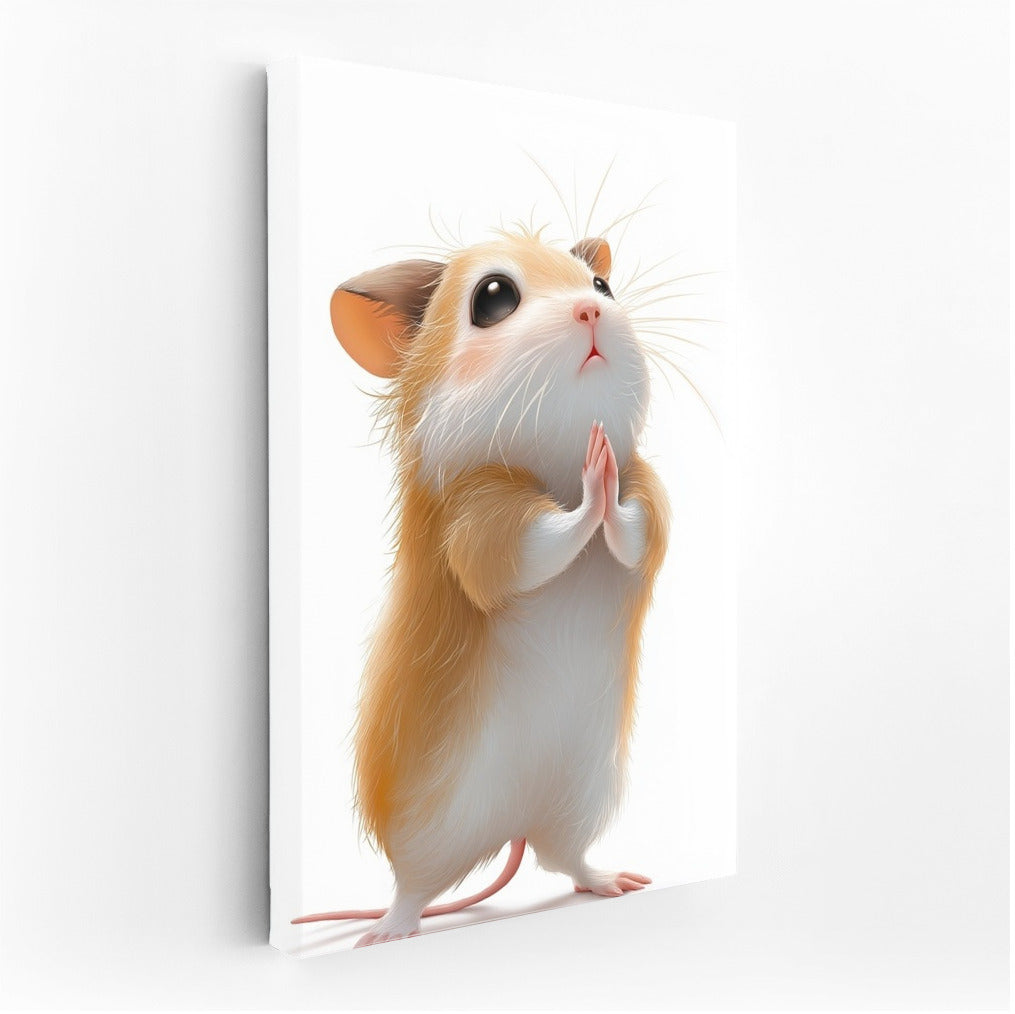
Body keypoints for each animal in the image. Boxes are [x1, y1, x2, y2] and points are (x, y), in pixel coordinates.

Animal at [292, 228, 670, 947]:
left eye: (601, 285)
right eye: (493, 297)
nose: (591, 310)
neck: (553, 459)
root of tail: (512, 823)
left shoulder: (652, 493)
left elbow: (637, 531)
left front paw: (602, 475)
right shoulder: (479, 519)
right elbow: (534, 548)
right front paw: (592, 485)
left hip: (582, 796)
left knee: (566, 861)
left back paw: (614, 880)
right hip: (431, 829)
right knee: (412, 889)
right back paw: (387, 931)